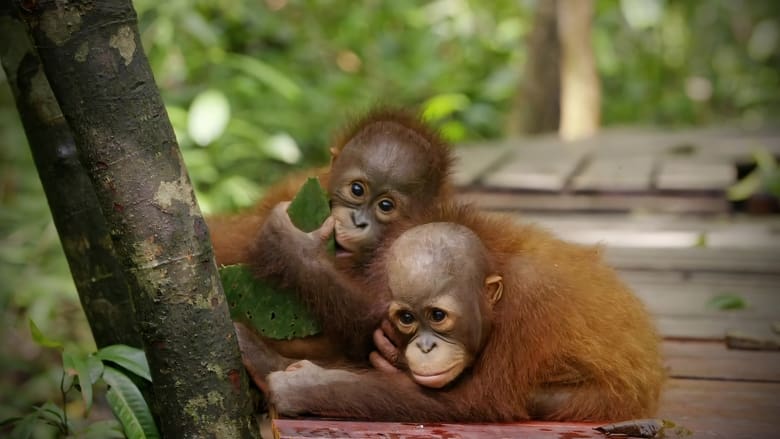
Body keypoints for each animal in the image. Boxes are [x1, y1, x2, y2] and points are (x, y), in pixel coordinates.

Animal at [259, 204, 665, 422]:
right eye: (407, 318)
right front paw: (296, 251)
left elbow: (480, 398)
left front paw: (305, 386)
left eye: (438, 316)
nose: (424, 348)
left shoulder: (532, 302)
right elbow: (369, 314)